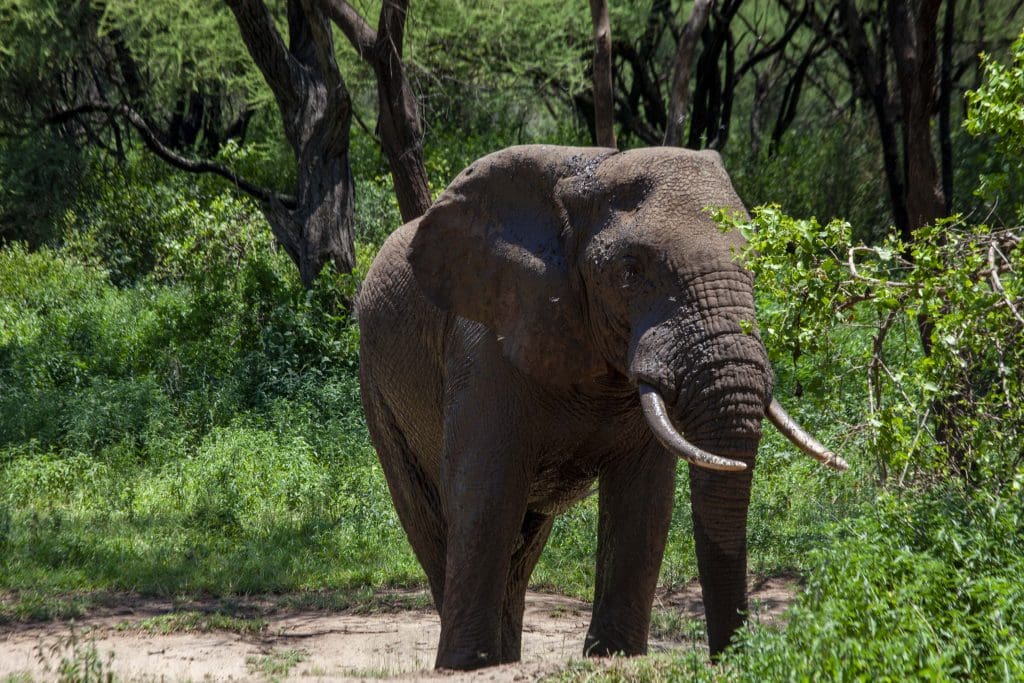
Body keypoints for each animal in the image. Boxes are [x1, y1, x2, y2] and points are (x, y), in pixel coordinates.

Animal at [356, 145, 846, 671]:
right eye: (630, 271)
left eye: (756, 263)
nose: (728, 659)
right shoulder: (483, 342)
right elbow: (486, 494)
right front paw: (468, 666)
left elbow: (644, 503)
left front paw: (614, 656)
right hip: (377, 387)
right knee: (432, 522)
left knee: (524, 545)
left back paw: (508, 657)